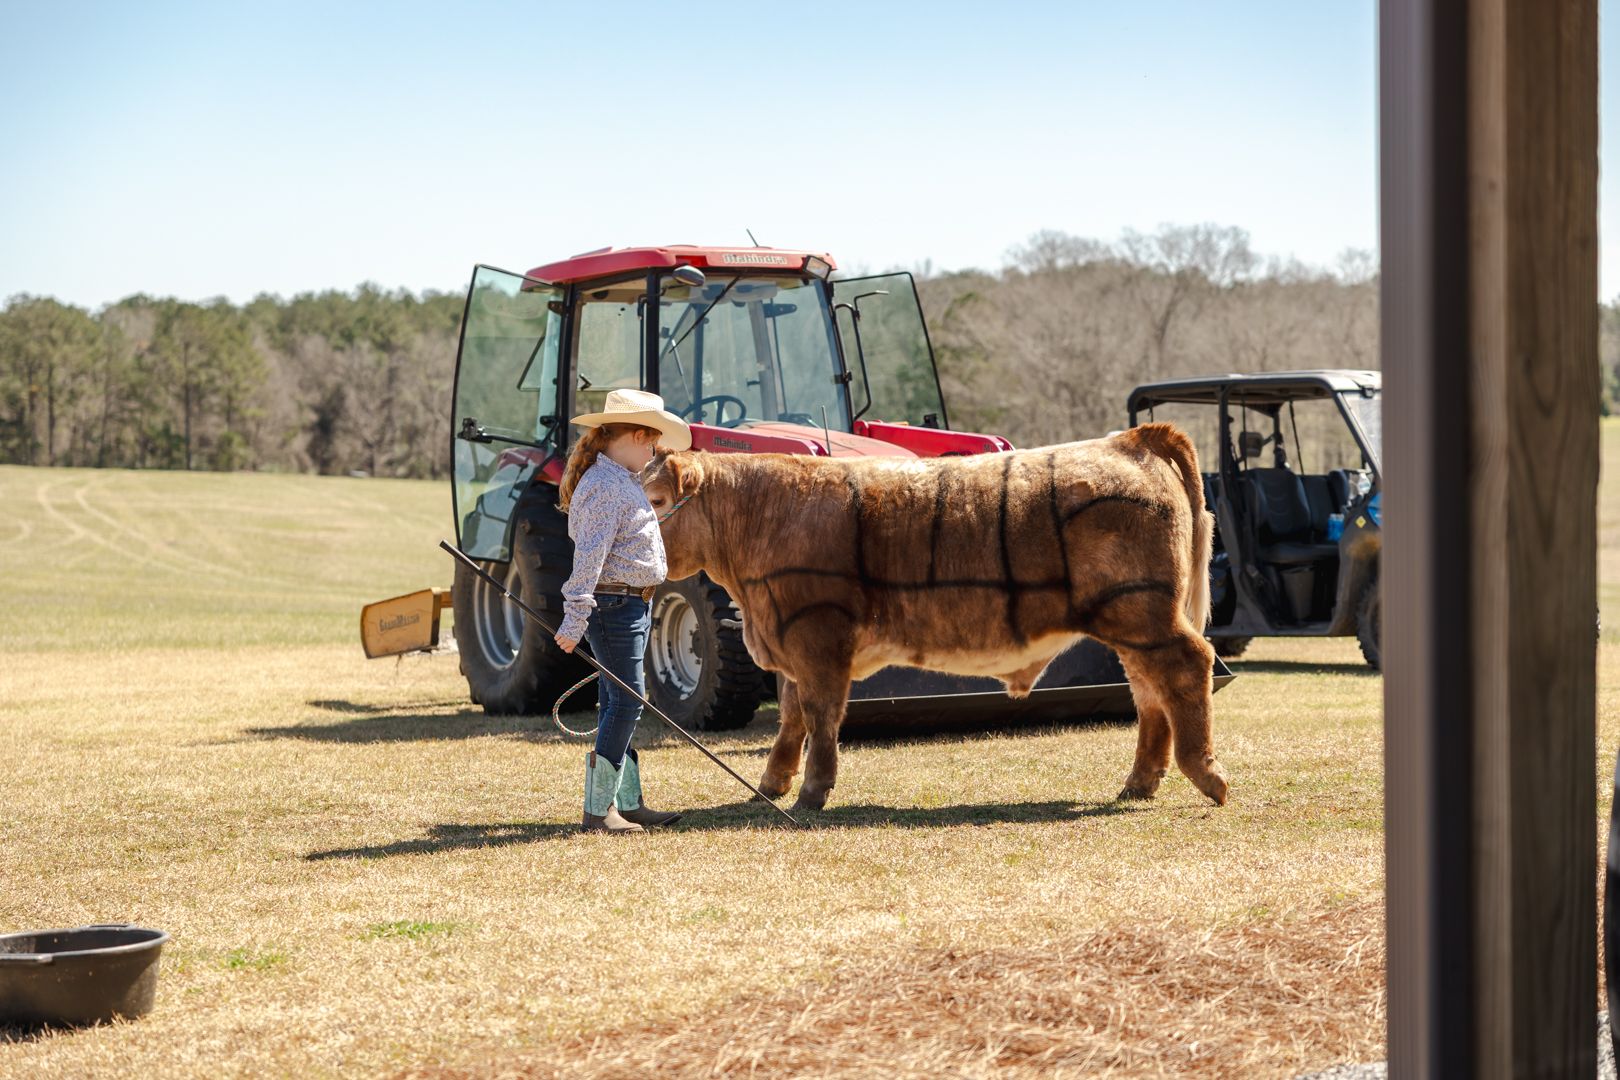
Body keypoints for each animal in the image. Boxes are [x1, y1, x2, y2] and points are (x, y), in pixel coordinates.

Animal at [642, 423, 1228, 812]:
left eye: (657, 498)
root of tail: (1128, 439)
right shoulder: (790, 644)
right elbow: (791, 717)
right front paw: (772, 785)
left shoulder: (818, 641)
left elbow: (820, 716)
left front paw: (812, 792)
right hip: (1132, 626)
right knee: (1150, 691)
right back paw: (1140, 782)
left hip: (1143, 613)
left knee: (1187, 664)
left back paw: (1206, 774)